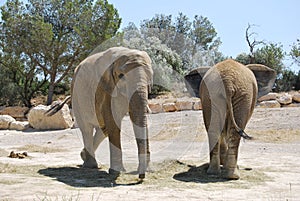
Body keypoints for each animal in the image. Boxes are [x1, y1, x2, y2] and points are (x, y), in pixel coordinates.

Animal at [48, 47, 155, 179]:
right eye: (121, 76)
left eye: (150, 76)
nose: (140, 176)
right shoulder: (104, 88)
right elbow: (113, 120)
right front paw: (116, 171)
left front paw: (149, 170)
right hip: (76, 99)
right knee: (87, 129)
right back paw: (91, 165)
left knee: (103, 130)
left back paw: (84, 156)